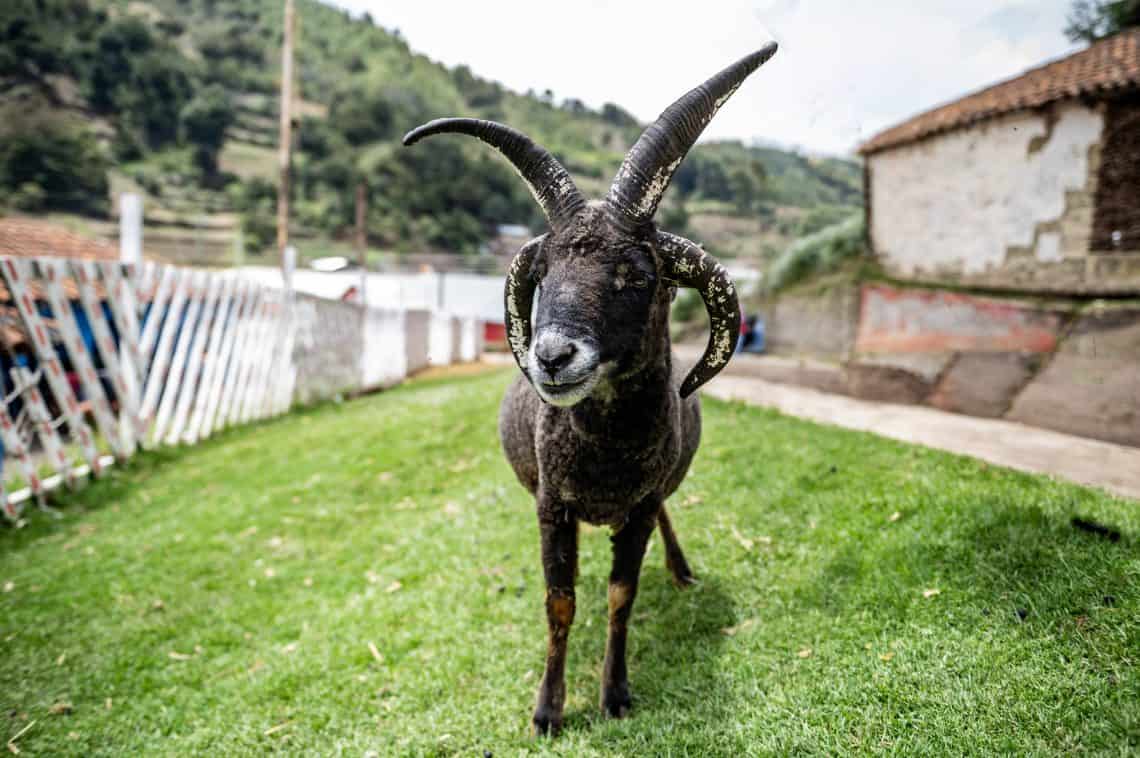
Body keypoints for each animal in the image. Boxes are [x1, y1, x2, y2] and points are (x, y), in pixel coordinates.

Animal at [403, 43, 777, 736]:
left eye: (636, 274)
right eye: (544, 272)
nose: (552, 357)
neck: (605, 449)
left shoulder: (637, 505)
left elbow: (620, 596)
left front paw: (616, 694)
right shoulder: (554, 507)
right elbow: (560, 602)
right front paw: (548, 709)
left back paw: (681, 572)